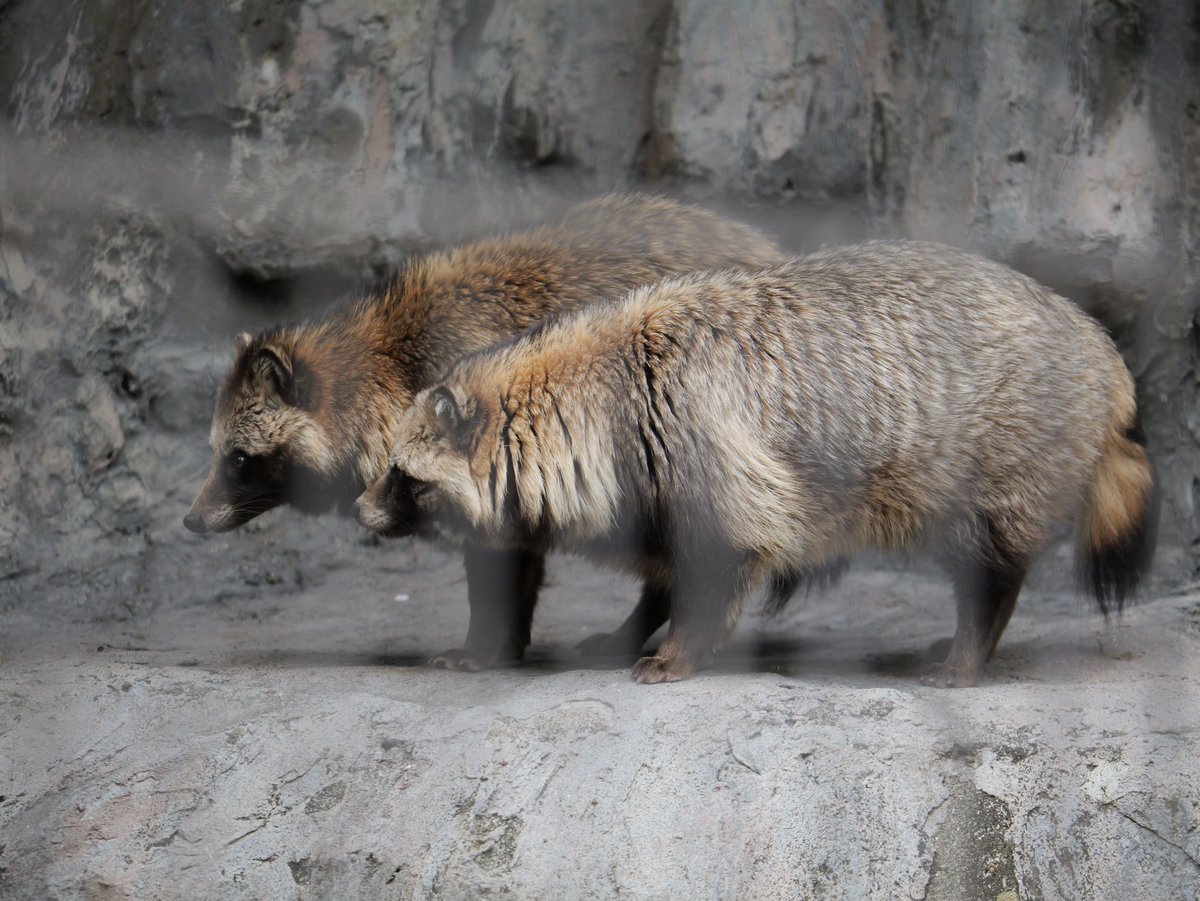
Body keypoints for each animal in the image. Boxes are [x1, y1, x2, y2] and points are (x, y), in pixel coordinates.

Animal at [182, 191, 782, 671]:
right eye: (217, 453)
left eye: (239, 459)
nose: (190, 520)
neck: (383, 361)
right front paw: (506, 643)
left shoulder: (500, 446)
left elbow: (498, 565)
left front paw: (483, 644)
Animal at [360, 239, 1156, 681]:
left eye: (404, 476)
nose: (362, 510)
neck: (596, 388)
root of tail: (1101, 350)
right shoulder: (645, 481)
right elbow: (658, 567)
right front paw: (622, 629)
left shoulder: (701, 440)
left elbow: (723, 559)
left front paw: (678, 650)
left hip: (997, 459)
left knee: (988, 567)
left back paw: (969, 649)